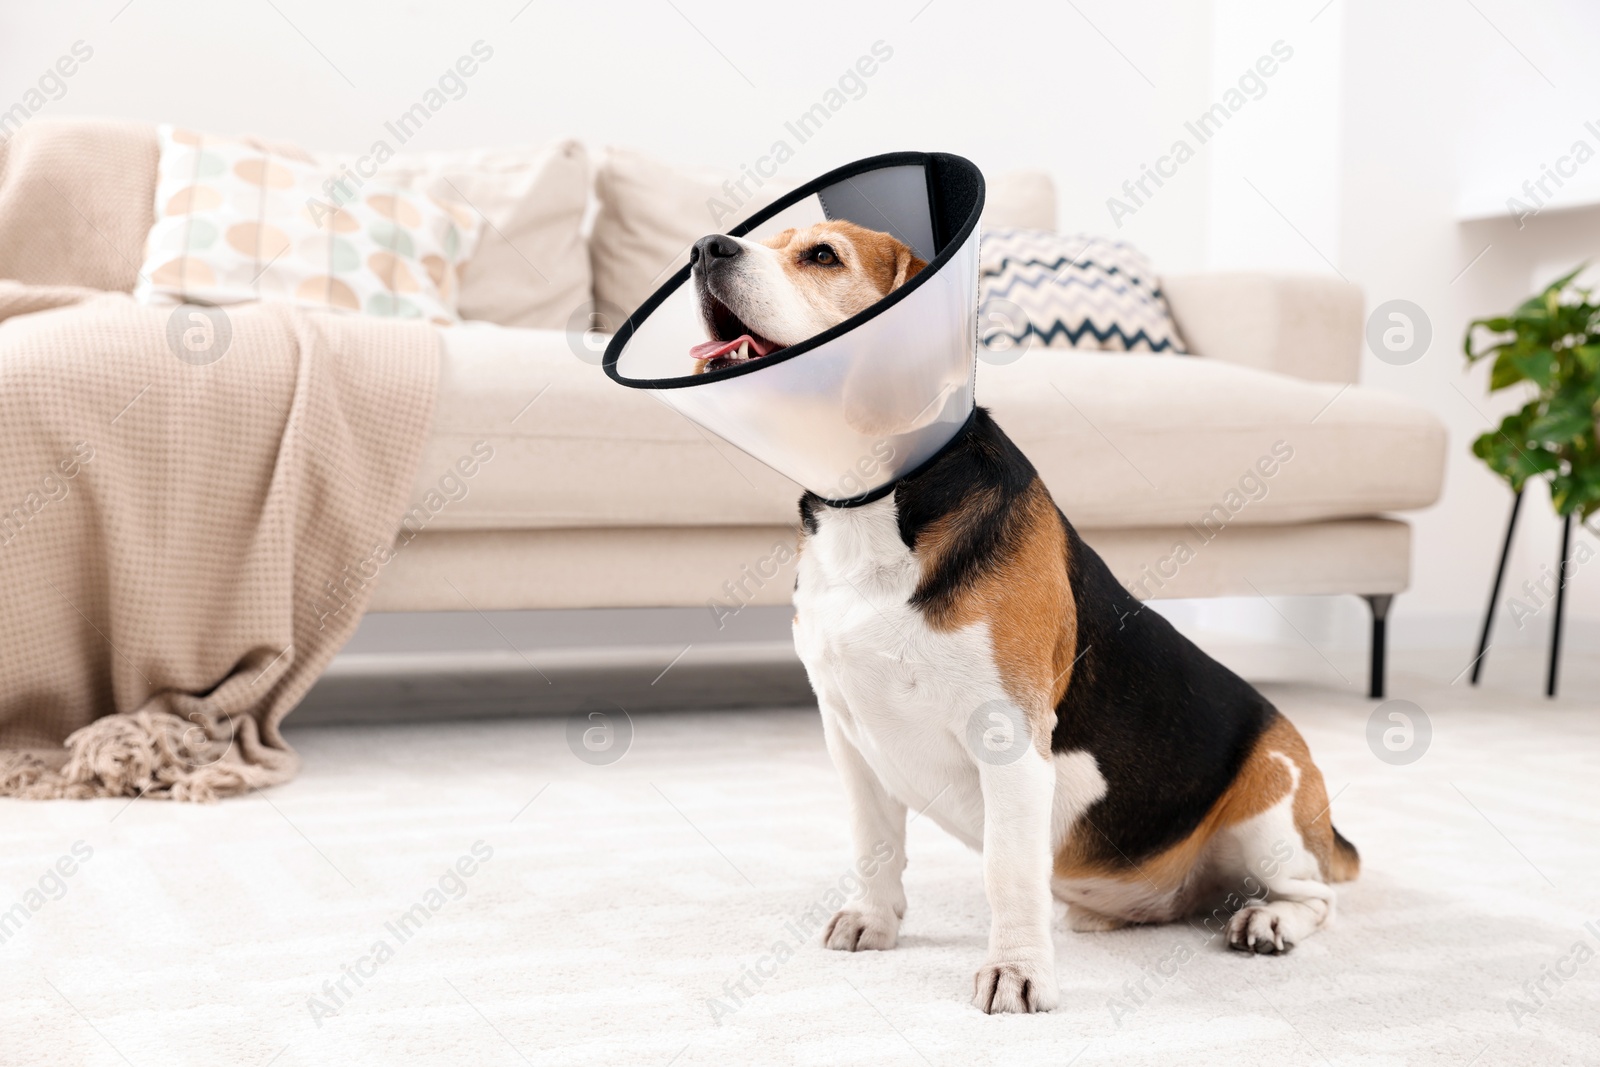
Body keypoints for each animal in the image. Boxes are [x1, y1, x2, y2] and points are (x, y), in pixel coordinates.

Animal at [681, 220, 1356, 1017]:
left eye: (822, 255)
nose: (706, 248)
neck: (876, 506)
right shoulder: (847, 731)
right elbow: (874, 841)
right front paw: (874, 920)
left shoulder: (1006, 735)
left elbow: (1007, 869)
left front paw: (1016, 971)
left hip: (1268, 804)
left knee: (1315, 895)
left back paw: (1268, 920)